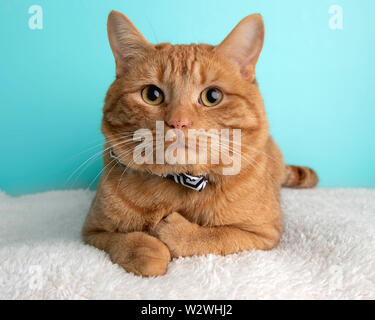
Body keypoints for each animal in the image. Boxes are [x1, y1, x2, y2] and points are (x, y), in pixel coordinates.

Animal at [81, 9, 318, 276]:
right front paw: (146, 251)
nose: (178, 122)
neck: (180, 181)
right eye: (152, 95)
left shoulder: (263, 234)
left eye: (212, 96)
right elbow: (121, 239)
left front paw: (174, 232)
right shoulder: (91, 232)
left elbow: (215, 236)